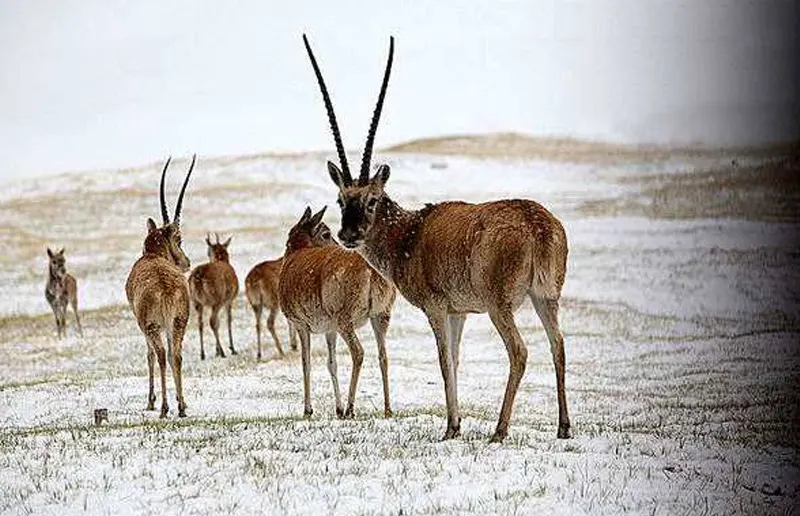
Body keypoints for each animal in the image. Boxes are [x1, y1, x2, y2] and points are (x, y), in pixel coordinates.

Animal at [125, 155, 195, 418]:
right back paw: (182, 406)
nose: (186, 262)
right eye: (179, 240)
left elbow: (148, 356)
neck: (153, 255)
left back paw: (164, 407)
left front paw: (151, 401)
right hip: (178, 322)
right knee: (176, 355)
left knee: (161, 355)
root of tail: (165, 288)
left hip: (152, 326)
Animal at [244, 222, 335, 360]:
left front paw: (294, 345)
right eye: (326, 234)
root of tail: (252, 281)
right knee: (269, 323)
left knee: (258, 324)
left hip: (255, 304)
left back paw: (259, 354)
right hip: (273, 301)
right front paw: (294, 345)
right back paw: (281, 351)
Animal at [279, 206, 396, 418]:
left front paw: (308, 410)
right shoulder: (329, 328)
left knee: (358, 352)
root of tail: (372, 272)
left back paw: (351, 408)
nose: (338, 243)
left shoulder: (300, 322)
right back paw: (387, 408)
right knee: (383, 355)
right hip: (382, 313)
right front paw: (337, 409)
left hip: (344, 316)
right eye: (326, 233)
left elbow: (306, 362)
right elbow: (331, 363)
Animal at [303, 35, 571, 442]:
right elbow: (456, 361)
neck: (409, 231)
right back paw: (563, 427)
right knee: (558, 346)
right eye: (340, 200)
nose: (347, 235)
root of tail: (537, 224)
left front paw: (450, 428)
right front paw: (456, 424)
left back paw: (500, 430)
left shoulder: (436, 308)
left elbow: (444, 361)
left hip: (500, 305)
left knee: (520, 351)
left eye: (372, 199)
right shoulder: (459, 312)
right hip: (546, 297)